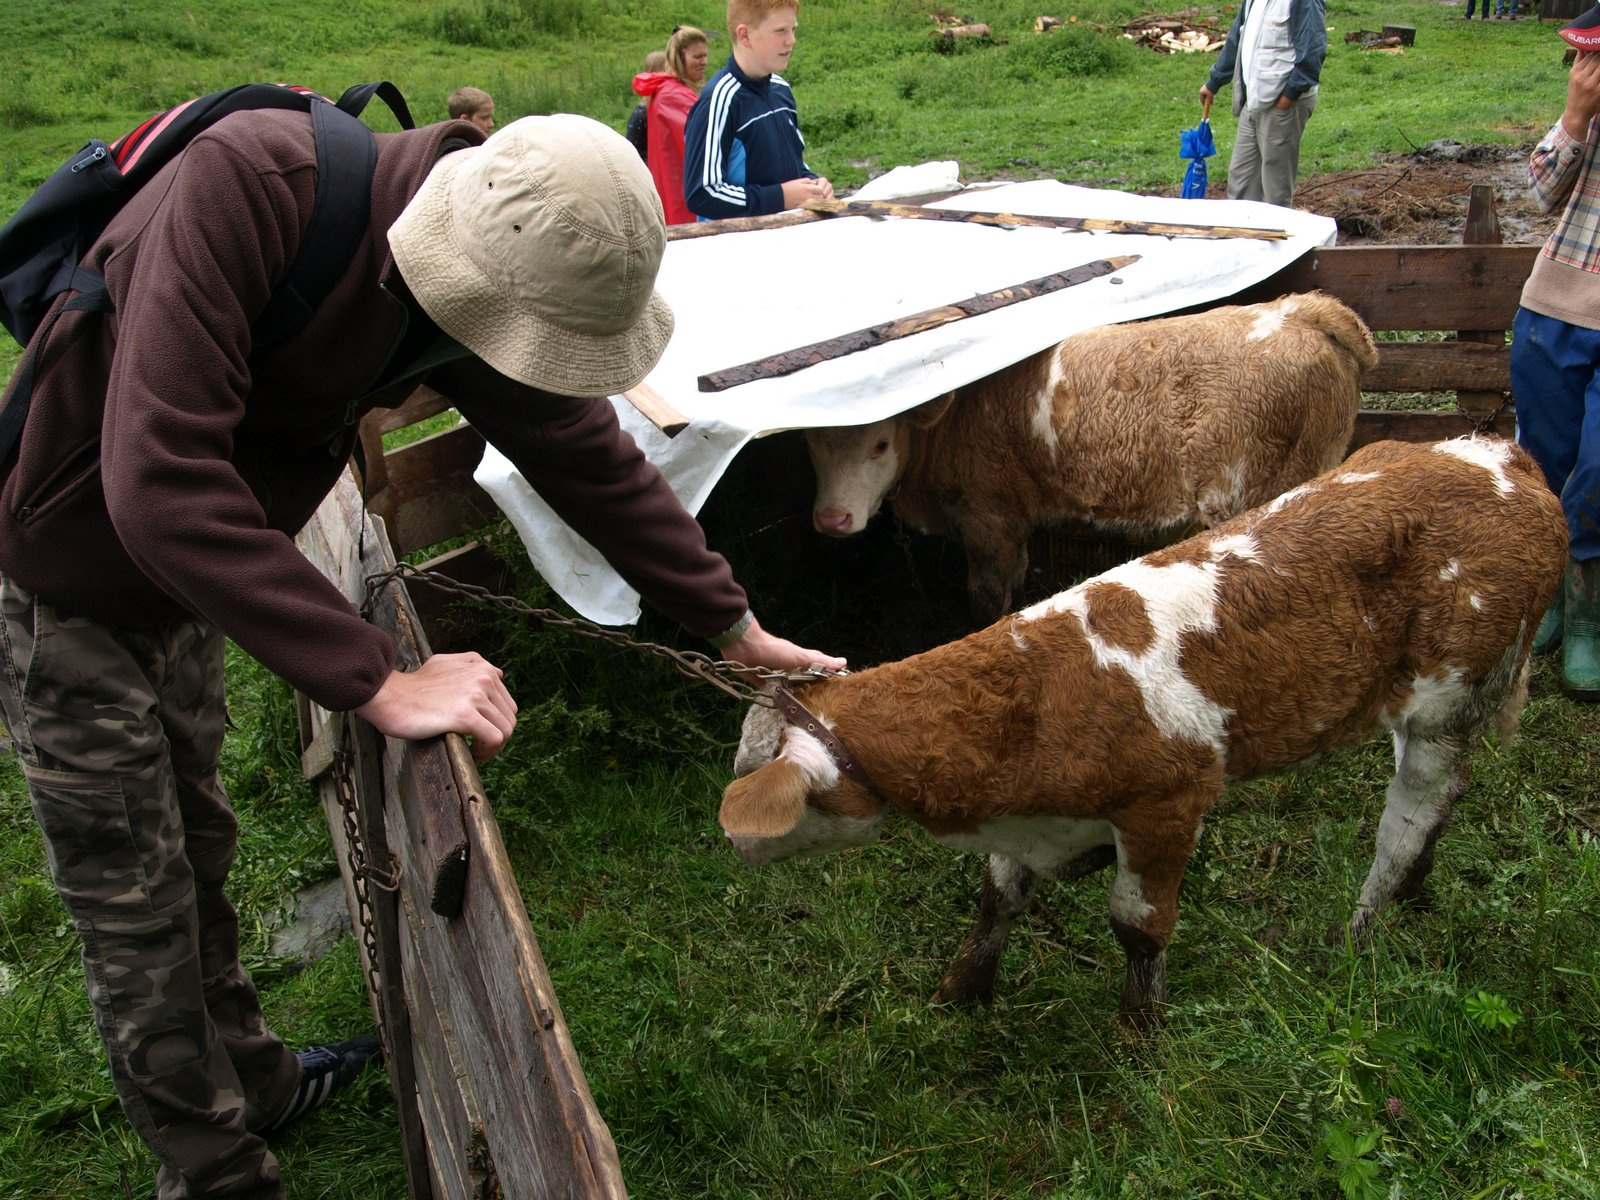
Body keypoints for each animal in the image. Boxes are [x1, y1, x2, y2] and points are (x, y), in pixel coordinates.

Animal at [723, 438, 1561, 1030]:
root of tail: (1502, 458)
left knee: (1408, 820)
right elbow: (998, 897)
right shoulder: (1028, 812)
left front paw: (1140, 1036)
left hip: (1449, 708)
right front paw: (960, 992)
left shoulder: (1166, 809)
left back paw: (1360, 933)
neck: (1038, 693)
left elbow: (1139, 927)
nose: (728, 840)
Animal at [806, 292, 1382, 624]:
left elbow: (988, 597)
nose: (833, 519)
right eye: (812, 444)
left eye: (881, 443)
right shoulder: (1013, 520)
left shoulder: (988, 517)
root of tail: (1303, 308)